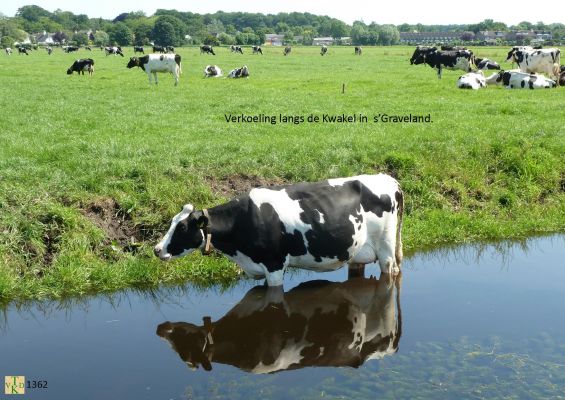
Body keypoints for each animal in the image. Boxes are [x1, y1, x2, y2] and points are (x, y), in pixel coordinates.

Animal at [152, 173, 404, 286]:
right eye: (172, 222)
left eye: (182, 227)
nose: (156, 249)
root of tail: (389, 179)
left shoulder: (274, 265)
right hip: (357, 251)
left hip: (386, 248)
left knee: (390, 270)